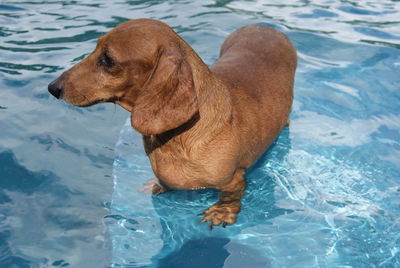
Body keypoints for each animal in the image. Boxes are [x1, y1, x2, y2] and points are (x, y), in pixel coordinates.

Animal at [48, 18, 296, 228]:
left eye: (108, 59)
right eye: (95, 47)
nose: (52, 87)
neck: (177, 138)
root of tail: (263, 26)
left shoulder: (234, 178)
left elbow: (230, 196)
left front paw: (222, 212)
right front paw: (156, 186)